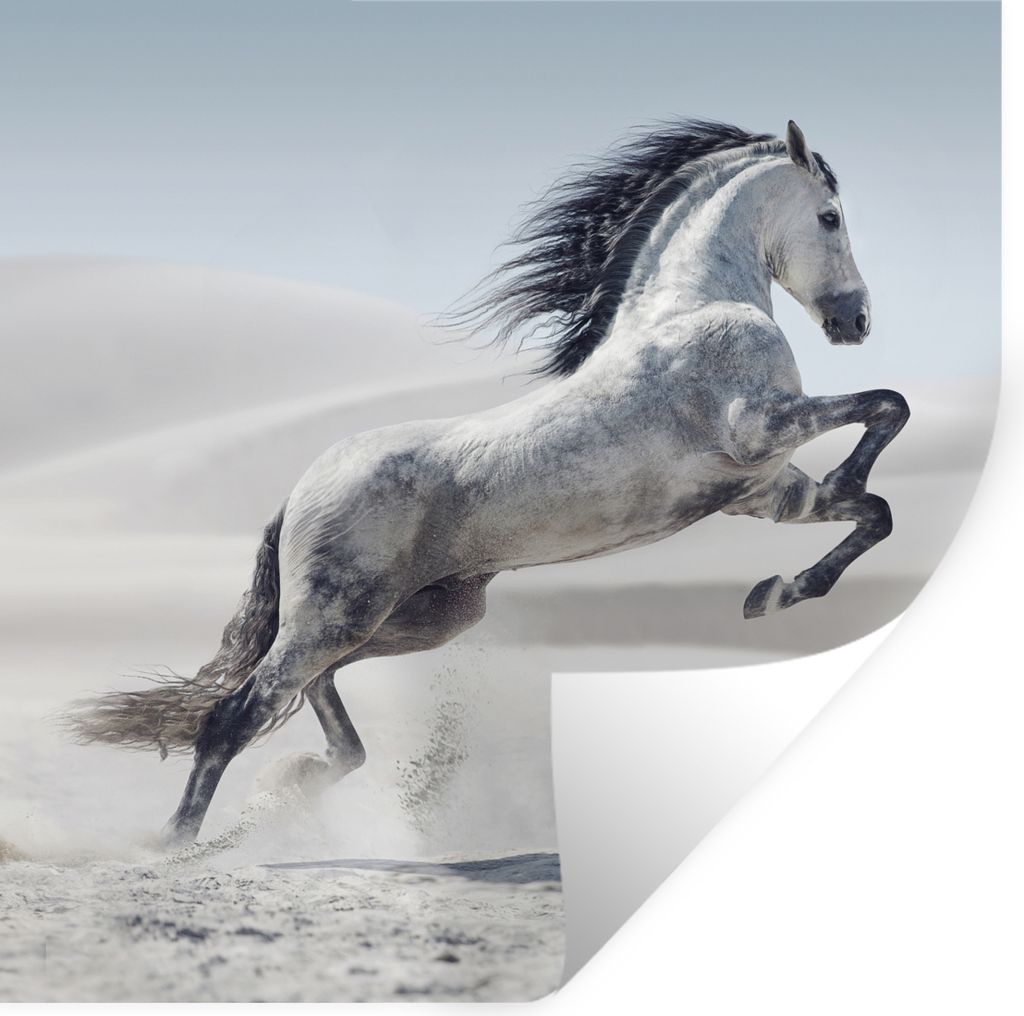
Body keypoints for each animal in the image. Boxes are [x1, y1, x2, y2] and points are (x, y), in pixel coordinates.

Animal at [68, 119, 909, 846]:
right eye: (831, 216)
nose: (858, 322)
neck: (693, 308)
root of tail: (300, 490)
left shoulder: (764, 491)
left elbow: (875, 511)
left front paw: (776, 593)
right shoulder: (759, 427)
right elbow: (886, 408)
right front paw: (808, 540)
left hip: (417, 618)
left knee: (313, 693)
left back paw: (298, 781)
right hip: (339, 614)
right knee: (237, 713)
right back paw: (175, 843)